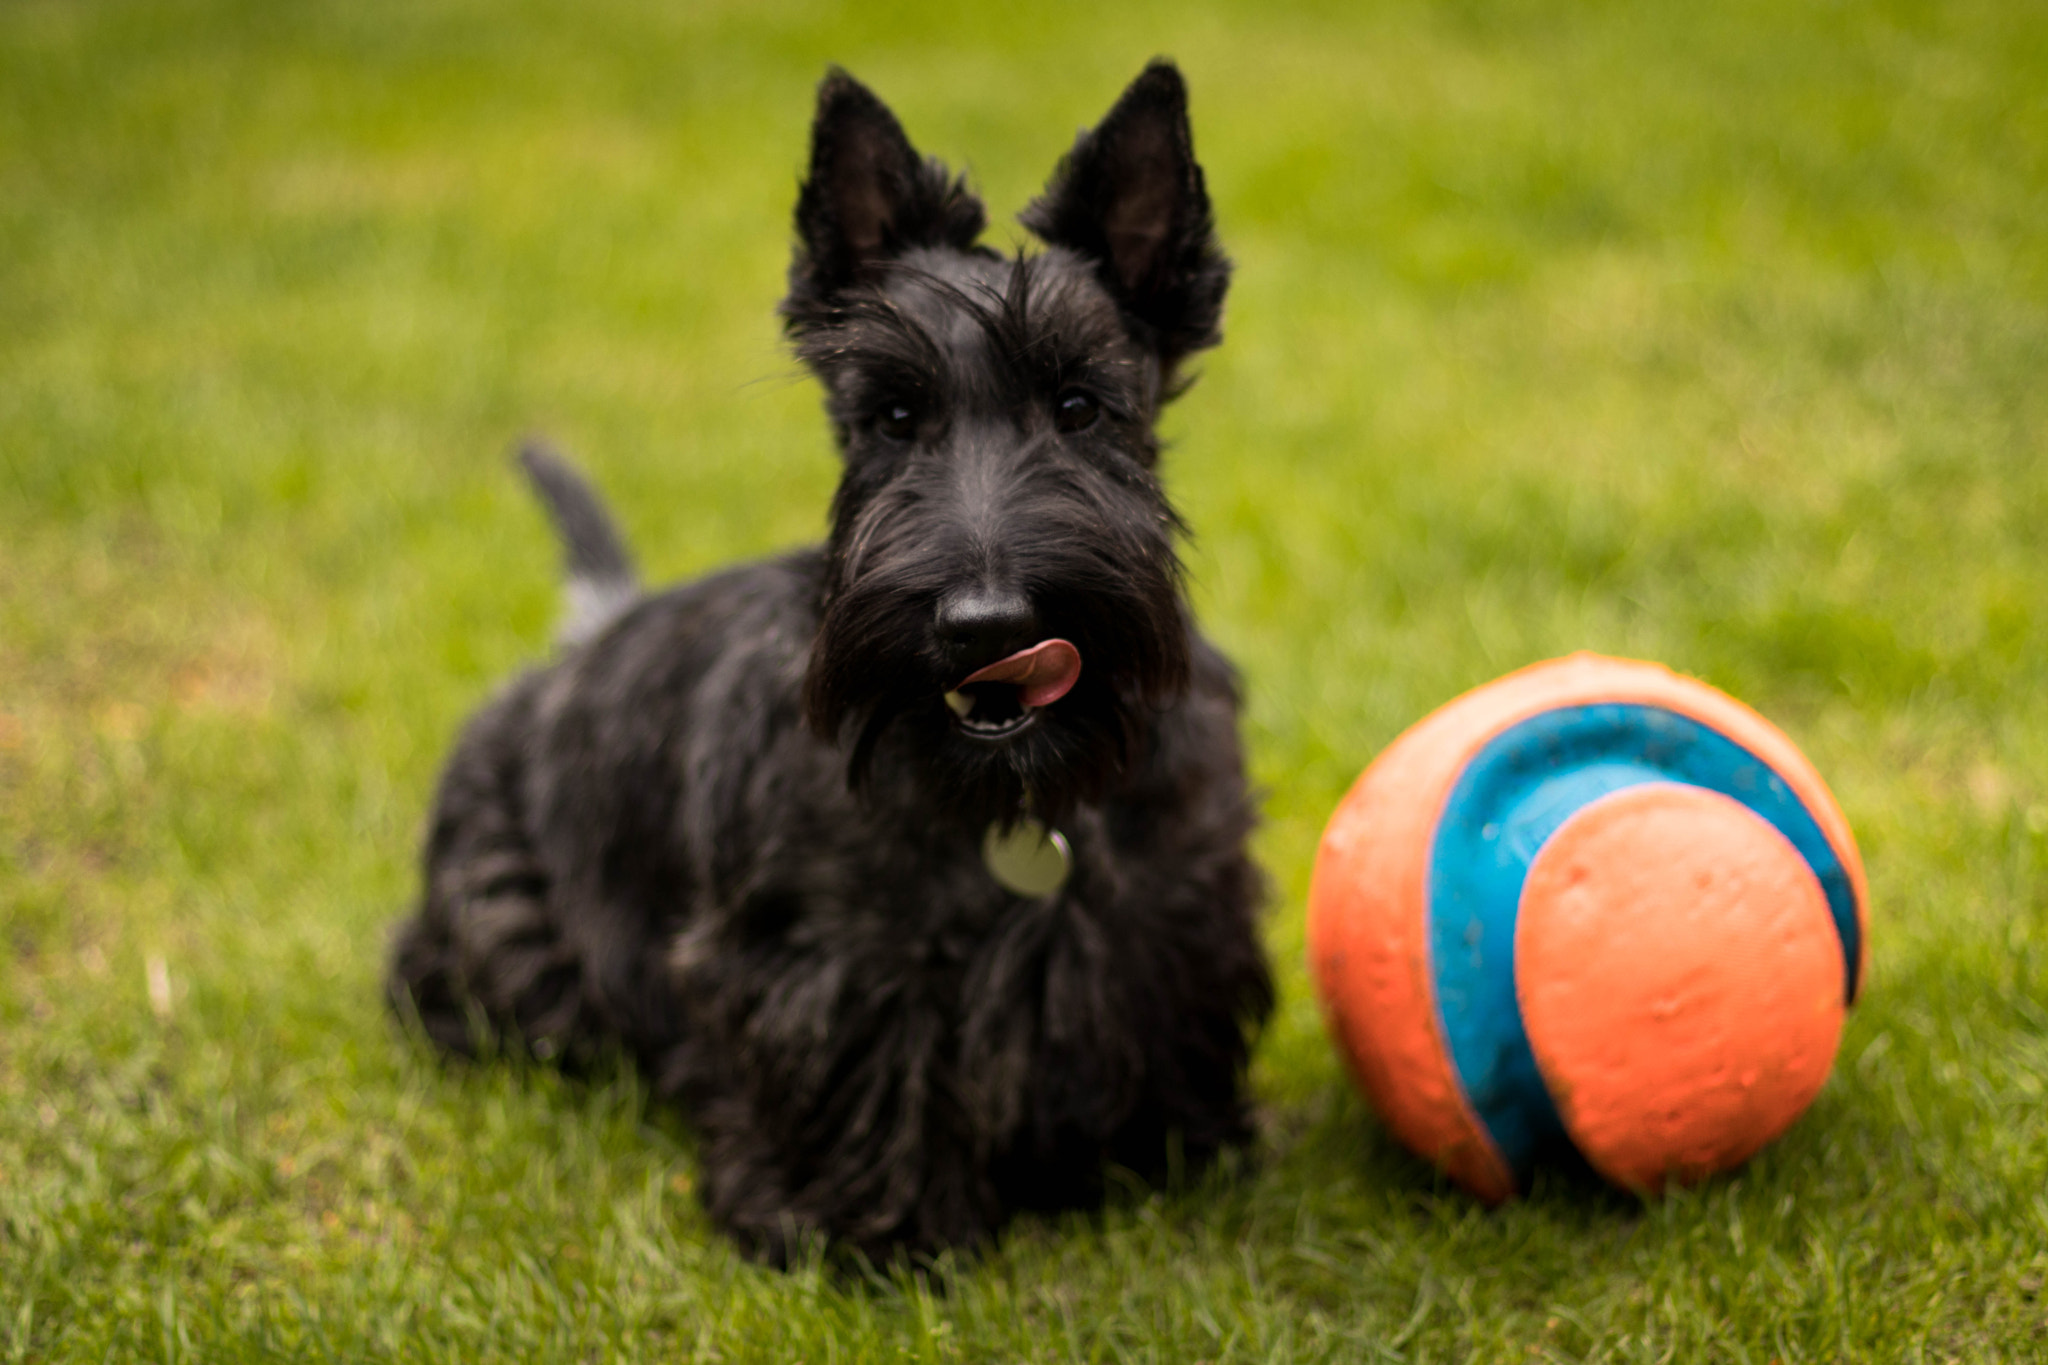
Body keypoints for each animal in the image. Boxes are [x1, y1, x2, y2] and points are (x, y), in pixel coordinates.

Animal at [391, 61, 1269, 1260]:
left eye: (1080, 405)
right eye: (892, 415)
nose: (987, 623)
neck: (1007, 795)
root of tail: (584, 641)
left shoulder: (1180, 907)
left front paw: (1177, 1143)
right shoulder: (826, 956)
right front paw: (862, 1226)